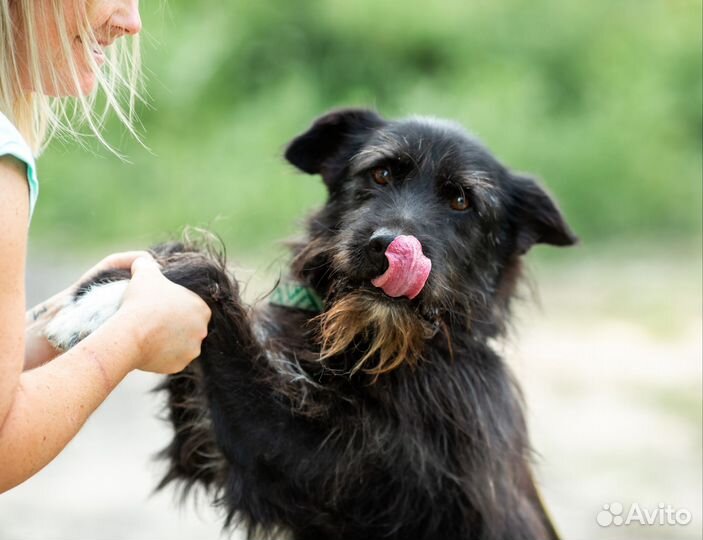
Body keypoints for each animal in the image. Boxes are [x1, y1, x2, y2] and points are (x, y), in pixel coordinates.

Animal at [48, 109, 576, 540]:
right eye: (381, 173)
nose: (388, 246)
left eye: (462, 201)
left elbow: (209, 277)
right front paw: (110, 286)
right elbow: (175, 255)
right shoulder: (202, 452)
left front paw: (107, 301)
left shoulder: (312, 468)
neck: (370, 344)